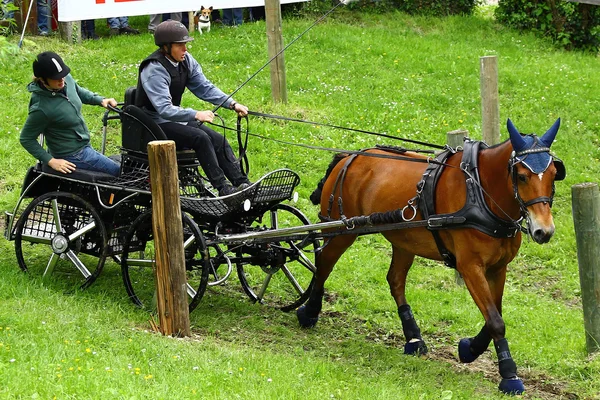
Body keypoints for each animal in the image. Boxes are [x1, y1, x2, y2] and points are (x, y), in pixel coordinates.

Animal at [298, 118, 564, 394]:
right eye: (521, 176)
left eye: (554, 174)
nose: (544, 231)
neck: (480, 191)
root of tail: (349, 157)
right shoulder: (470, 267)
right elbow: (495, 320)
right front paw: (509, 375)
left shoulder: (498, 268)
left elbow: (495, 314)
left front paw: (470, 348)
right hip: (342, 230)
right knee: (324, 264)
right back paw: (310, 312)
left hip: (404, 241)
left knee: (395, 280)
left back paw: (413, 338)